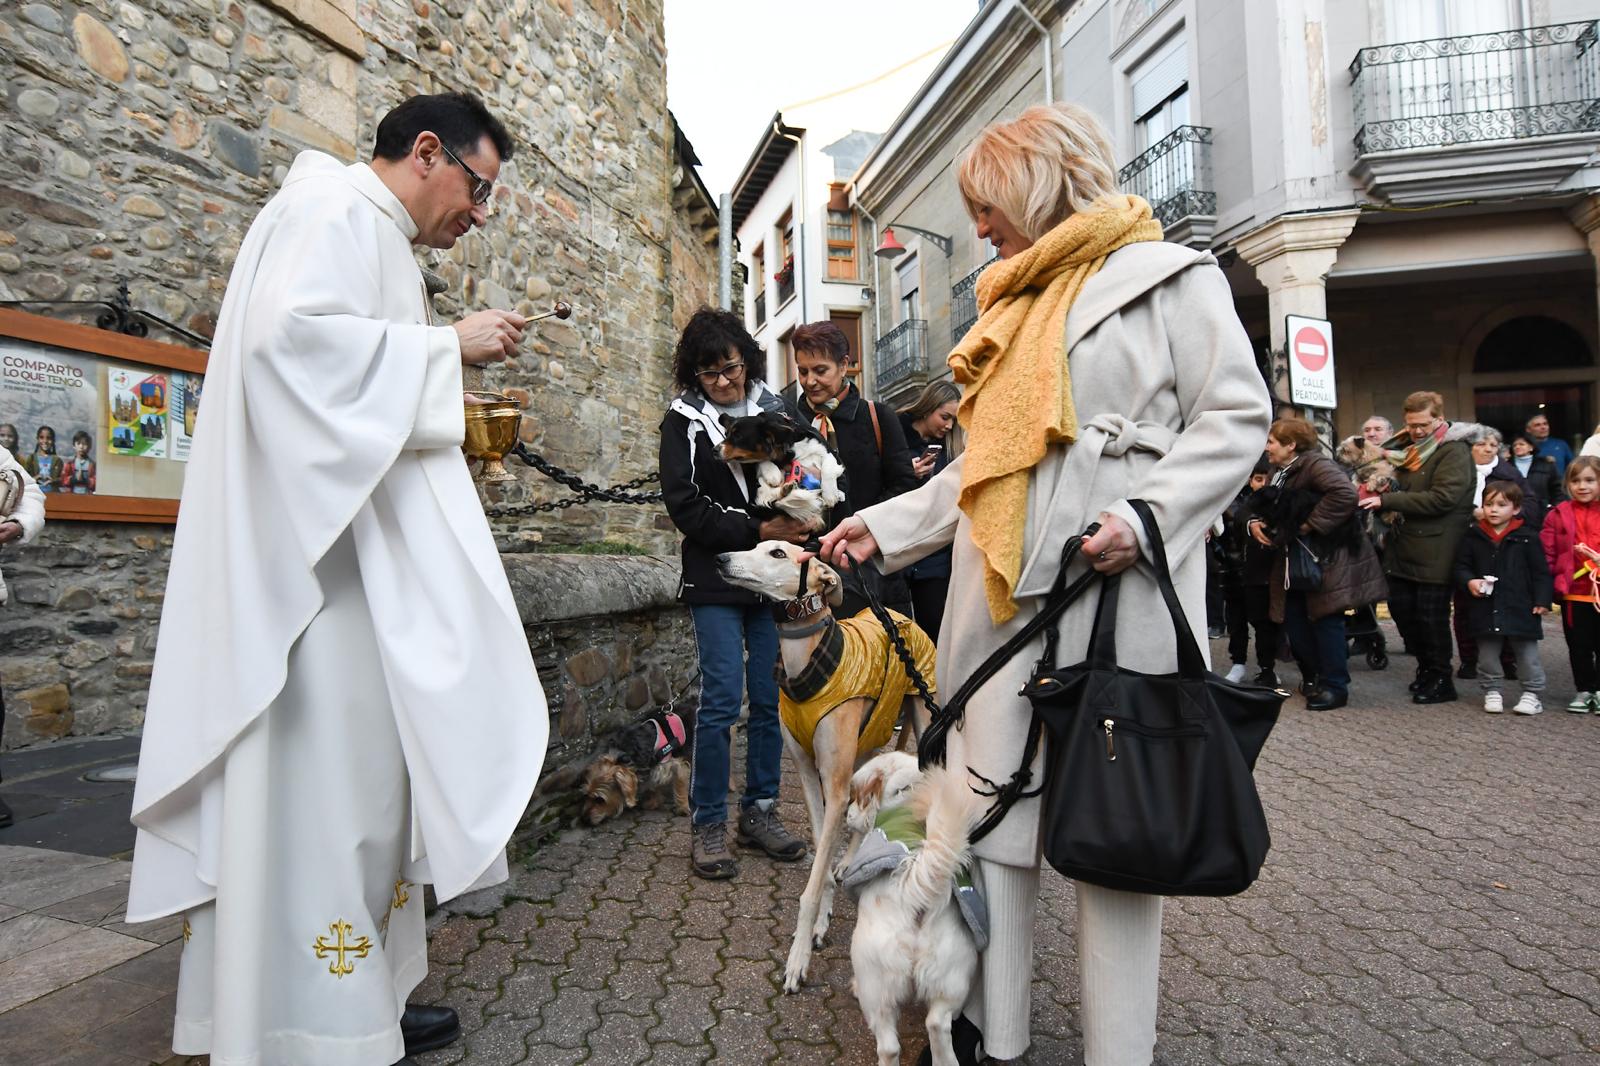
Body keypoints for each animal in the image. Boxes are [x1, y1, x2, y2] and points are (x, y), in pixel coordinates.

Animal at [716, 408, 844, 528]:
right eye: (726, 434)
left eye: (738, 436)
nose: (714, 450)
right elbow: (761, 462)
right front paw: (772, 473)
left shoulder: (827, 453)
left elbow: (828, 469)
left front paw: (830, 495)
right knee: (772, 498)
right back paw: (786, 489)